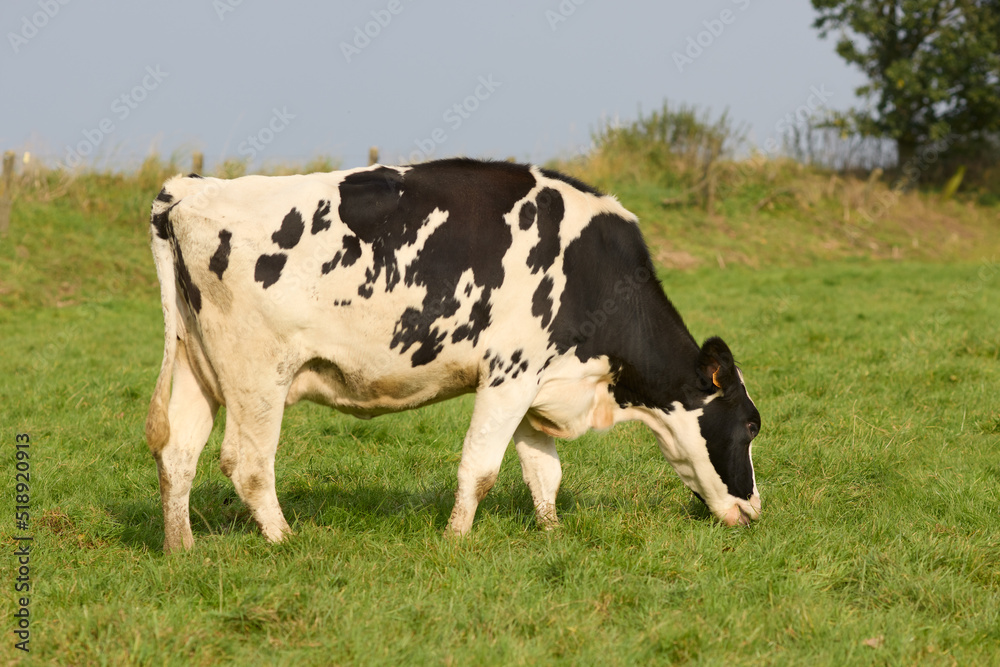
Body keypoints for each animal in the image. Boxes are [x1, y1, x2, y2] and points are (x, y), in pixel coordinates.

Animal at [145, 158, 760, 552]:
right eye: (751, 425)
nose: (755, 510)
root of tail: (192, 188)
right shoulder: (510, 373)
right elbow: (480, 468)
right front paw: (456, 539)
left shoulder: (536, 384)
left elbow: (544, 472)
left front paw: (553, 532)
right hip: (258, 375)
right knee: (247, 464)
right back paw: (284, 541)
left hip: (197, 367)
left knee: (177, 453)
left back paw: (182, 548)